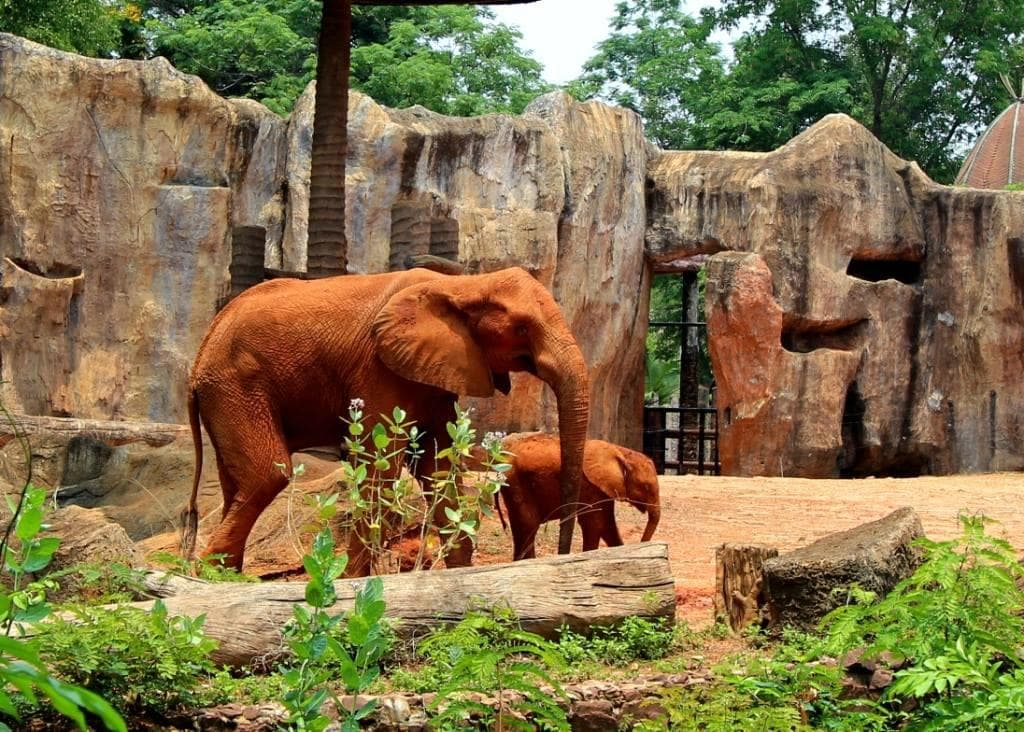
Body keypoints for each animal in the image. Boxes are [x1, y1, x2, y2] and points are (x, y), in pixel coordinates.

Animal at [180, 267, 589, 576]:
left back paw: (226, 577)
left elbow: (438, 469)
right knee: (267, 473)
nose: (563, 554)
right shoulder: (378, 369)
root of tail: (200, 354)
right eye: (522, 328)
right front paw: (350, 583)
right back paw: (210, 578)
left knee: (237, 483)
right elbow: (381, 470)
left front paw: (459, 574)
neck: (463, 283)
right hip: (236, 385)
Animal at [496, 433, 660, 560]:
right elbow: (595, 524)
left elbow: (607, 525)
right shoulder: (590, 486)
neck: (622, 452)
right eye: (646, 487)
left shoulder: (603, 489)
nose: (642, 544)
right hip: (517, 484)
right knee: (528, 524)